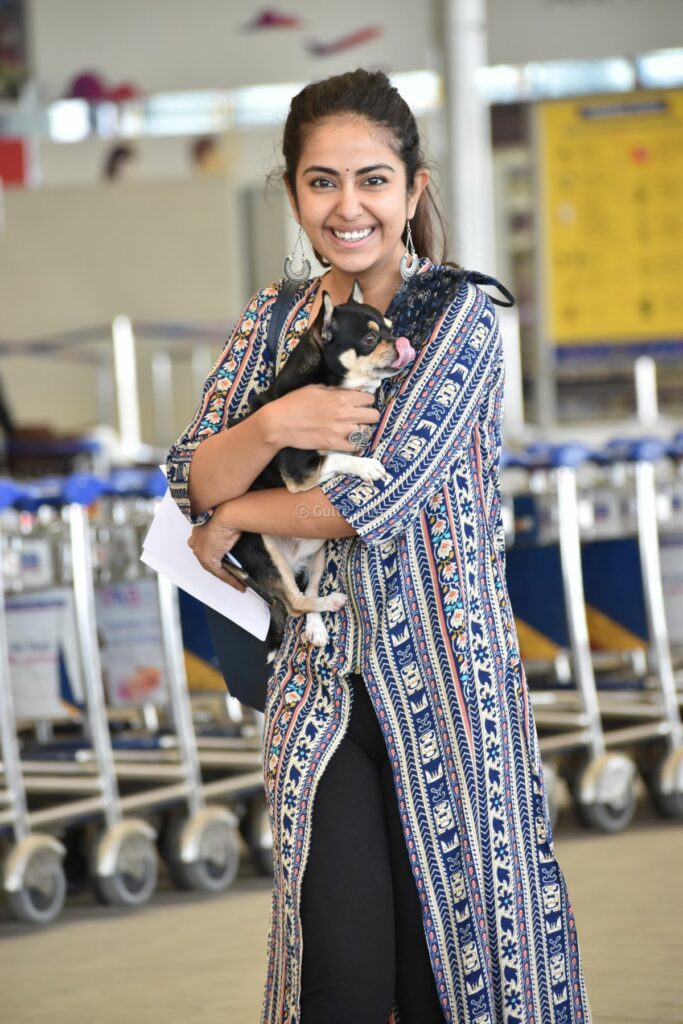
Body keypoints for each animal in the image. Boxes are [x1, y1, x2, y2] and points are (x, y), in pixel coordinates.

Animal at [227, 280, 413, 647]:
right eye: (369, 339)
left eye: (390, 327)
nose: (400, 342)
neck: (326, 383)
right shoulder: (301, 470)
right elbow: (336, 455)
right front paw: (367, 466)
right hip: (266, 551)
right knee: (295, 602)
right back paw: (332, 601)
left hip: (317, 551)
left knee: (307, 590)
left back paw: (317, 625)